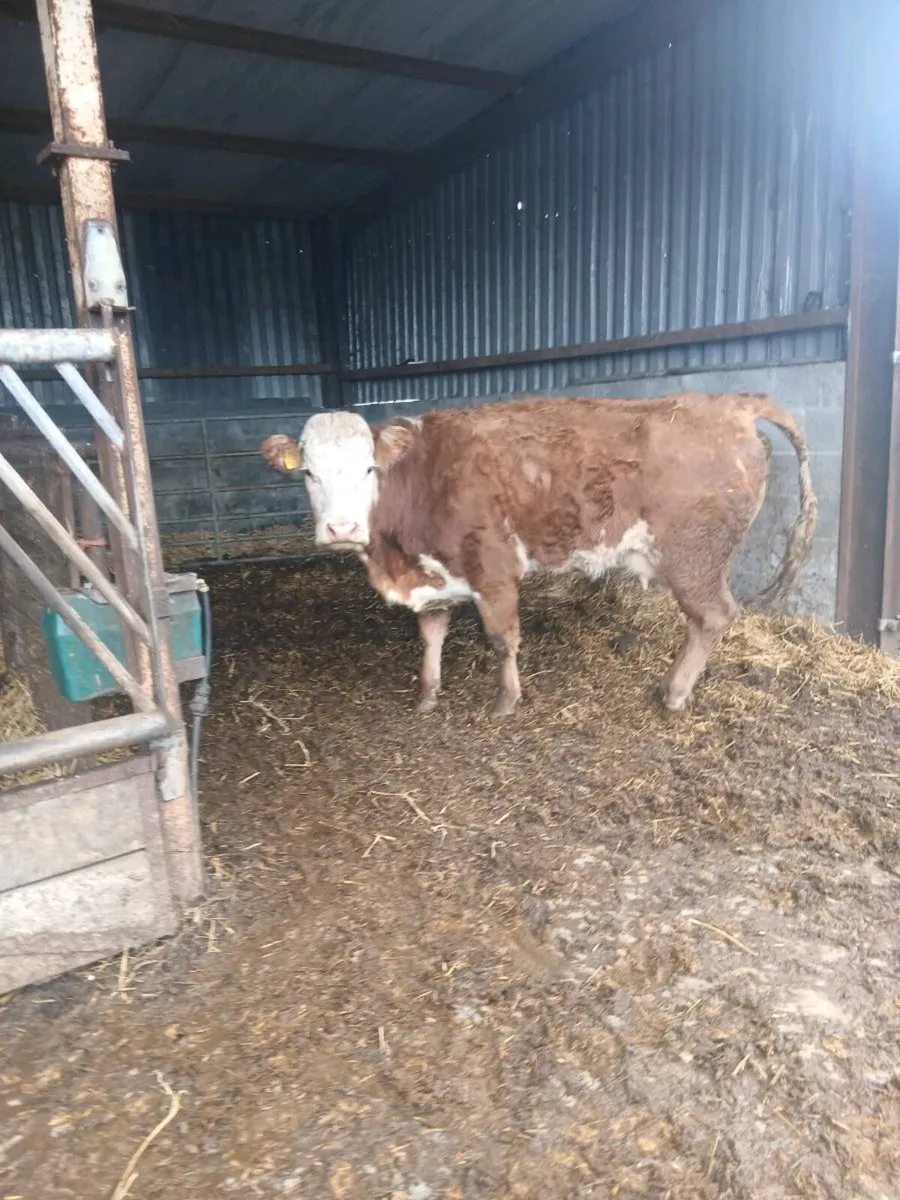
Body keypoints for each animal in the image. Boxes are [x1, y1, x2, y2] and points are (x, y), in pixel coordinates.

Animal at [260, 394, 816, 717]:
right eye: (308, 472)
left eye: (369, 468)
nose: (342, 528)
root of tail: (732, 402)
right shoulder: (435, 574)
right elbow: (431, 633)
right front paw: (427, 694)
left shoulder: (493, 566)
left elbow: (501, 638)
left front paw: (506, 701)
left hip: (693, 554)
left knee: (712, 616)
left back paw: (674, 693)